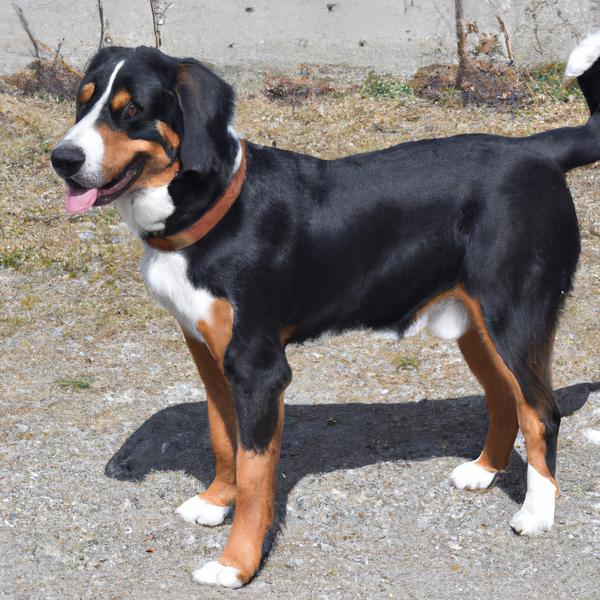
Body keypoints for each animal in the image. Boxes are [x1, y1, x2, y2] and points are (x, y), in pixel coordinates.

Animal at [51, 35, 600, 588]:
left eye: (133, 111)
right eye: (82, 101)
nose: (62, 159)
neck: (216, 214)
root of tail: (534, 150)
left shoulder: (259, 368)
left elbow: (255, 477)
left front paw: (236, 564)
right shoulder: (209, 354)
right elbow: (224, 439)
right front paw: (215, 502)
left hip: (517, 318)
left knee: (541, 411)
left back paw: (537, 512)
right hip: (478, 325)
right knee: (505, 396)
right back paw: (484, 471)